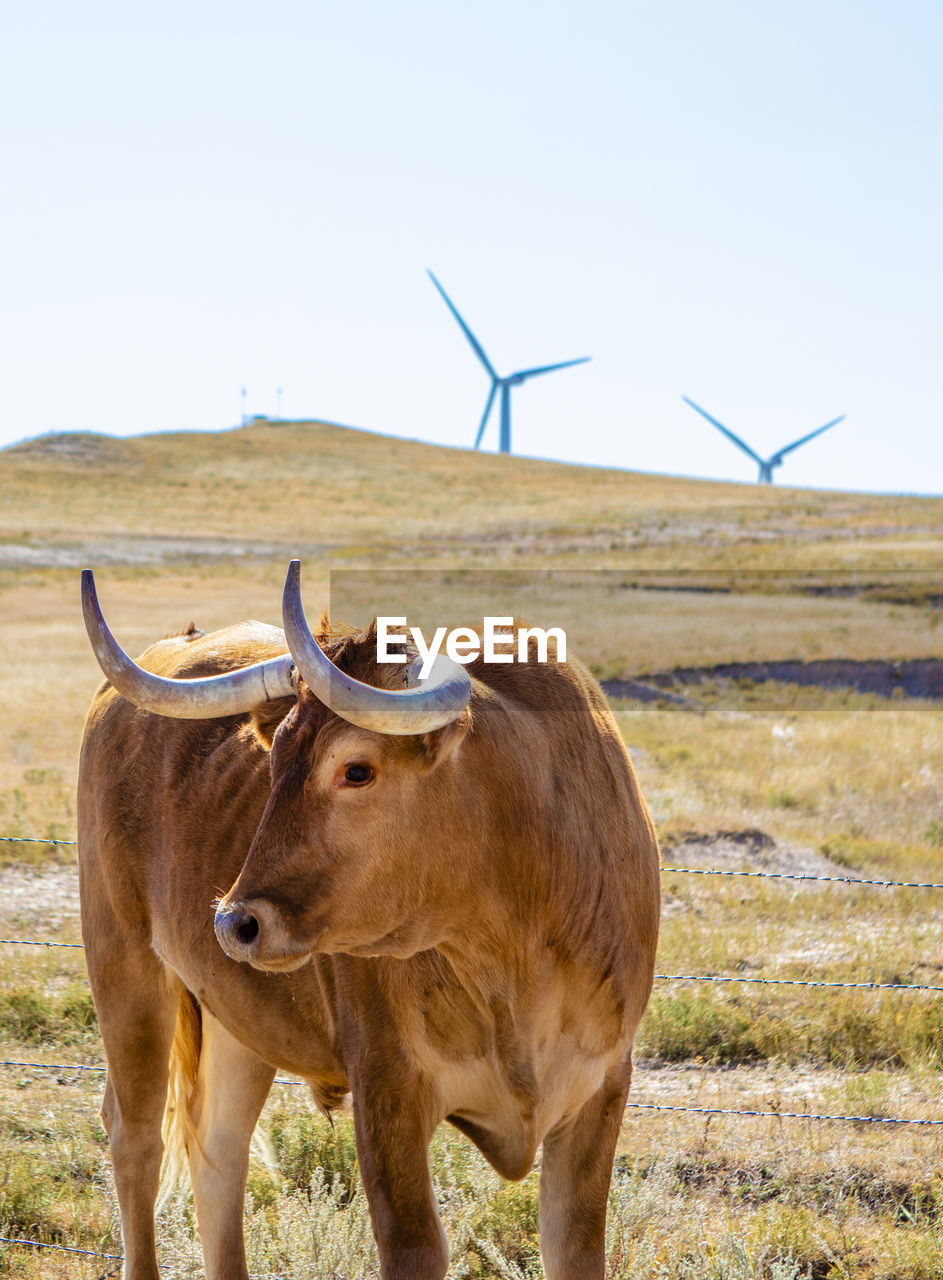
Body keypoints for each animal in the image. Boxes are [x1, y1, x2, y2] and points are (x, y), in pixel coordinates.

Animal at [77, 565, 660, 1280]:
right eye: (275, 762)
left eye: (356, 769)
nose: (236, 923)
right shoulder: (388, 1089)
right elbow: (415, 1248)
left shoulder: (600, 1091)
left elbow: (574, 1249)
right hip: (124, 965)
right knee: (135, 1140)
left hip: (236, 1017)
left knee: (219, 1151)